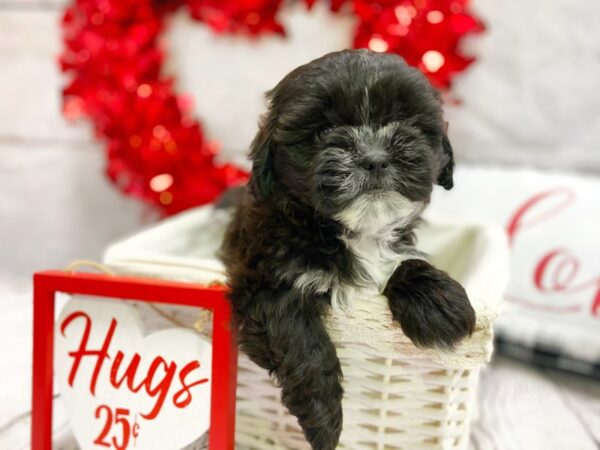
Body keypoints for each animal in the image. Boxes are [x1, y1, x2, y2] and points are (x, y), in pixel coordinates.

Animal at [223, 49, 476, 450]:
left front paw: (440, 303)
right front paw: (325, 421)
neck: (353, 232)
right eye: (324, 131)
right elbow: (302, 339)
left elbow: (402, 262)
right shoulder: (264, 282)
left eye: (403, 122)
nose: (374, 157)